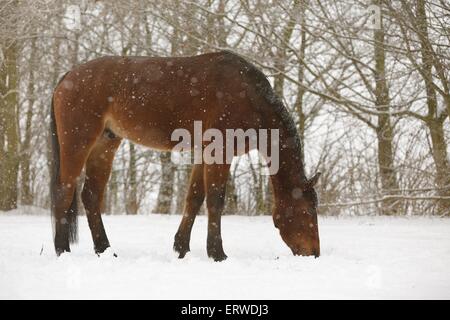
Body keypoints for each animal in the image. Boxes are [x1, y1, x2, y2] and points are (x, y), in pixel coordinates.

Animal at [51, 50, 322, 260]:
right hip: (78, 142)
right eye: (308, 211)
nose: (314, 253)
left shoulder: (205, 154)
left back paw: (104, 250)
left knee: (90, 196)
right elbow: (215, 200)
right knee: (64, 191)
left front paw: (181, 248)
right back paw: (62, 250)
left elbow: (194, 198)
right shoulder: (221, 152)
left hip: (105, 144)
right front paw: (217, 253)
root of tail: (67, 76)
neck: (248, 97)